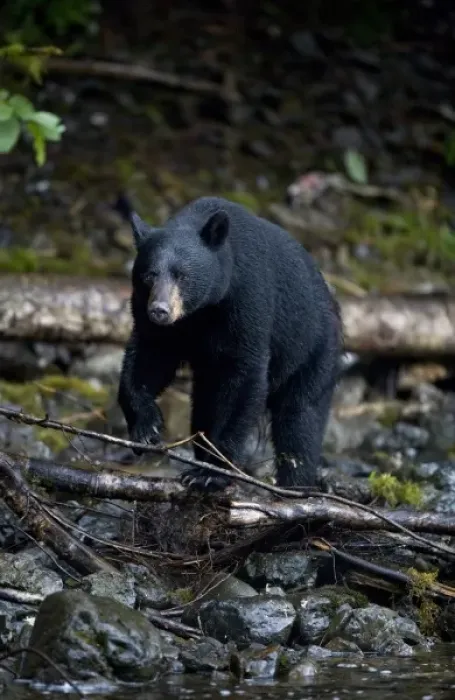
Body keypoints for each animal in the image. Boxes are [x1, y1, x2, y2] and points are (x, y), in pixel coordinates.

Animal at [116, 194, 342, 491]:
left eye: (182, 275)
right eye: (148, 275)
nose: (160, 310)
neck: (202, 312)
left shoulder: (247, 303)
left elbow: (244, 376)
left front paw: (213, 472)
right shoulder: (161, 325)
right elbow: (148, 358)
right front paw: (146, 428)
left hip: (313, 351)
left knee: (300, 419)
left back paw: (295, 484)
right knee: (203, 409)